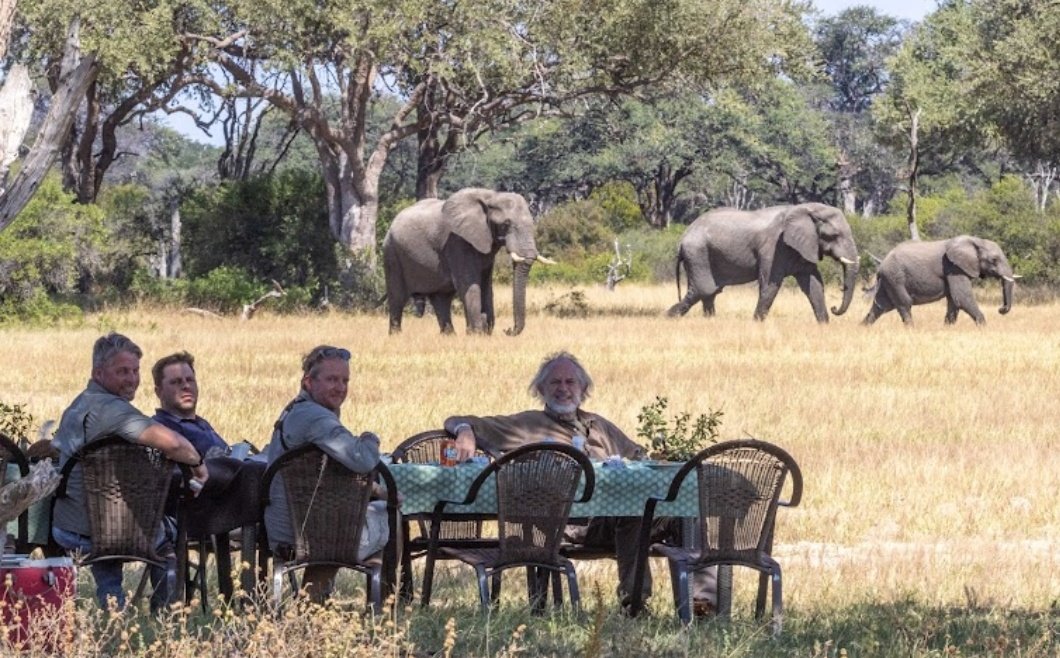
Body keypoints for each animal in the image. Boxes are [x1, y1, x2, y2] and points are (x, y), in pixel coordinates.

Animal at [382, 187, 549, 336]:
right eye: (505, 224)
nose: (507, 330)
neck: (491, 196)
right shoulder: (457, 242)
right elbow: (468, 285)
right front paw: (476, 333)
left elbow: (486, 286)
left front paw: (484, 332)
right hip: (392, 253)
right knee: (397, 298)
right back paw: (396, 336)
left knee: (441, 299)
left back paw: (449, 336)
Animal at [667, 203, 859, 322]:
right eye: (833, 236)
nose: (835, 308)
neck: (806, 208)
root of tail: (682, 238)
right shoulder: (773, 248)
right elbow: (770, 284)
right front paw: (756, 323)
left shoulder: (803, 247)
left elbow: (814, 284)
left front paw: (824, 325)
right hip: (697, 253)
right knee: (704, 289)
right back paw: (668, 317)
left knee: (710, 292)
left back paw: (709, 320)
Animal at [862, 235, 1015, 326]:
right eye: (994, 260)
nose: (1001, 309)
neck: (975, 240)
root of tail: (881, 265)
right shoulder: (953, 267)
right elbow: (962, 297)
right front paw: (983, 327)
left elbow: (954, 301)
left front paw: (948, 327)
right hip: (895, 278)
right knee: (904, 303)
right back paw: (911, 329)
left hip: (889, 280)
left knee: (881, 306)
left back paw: (863, 327)